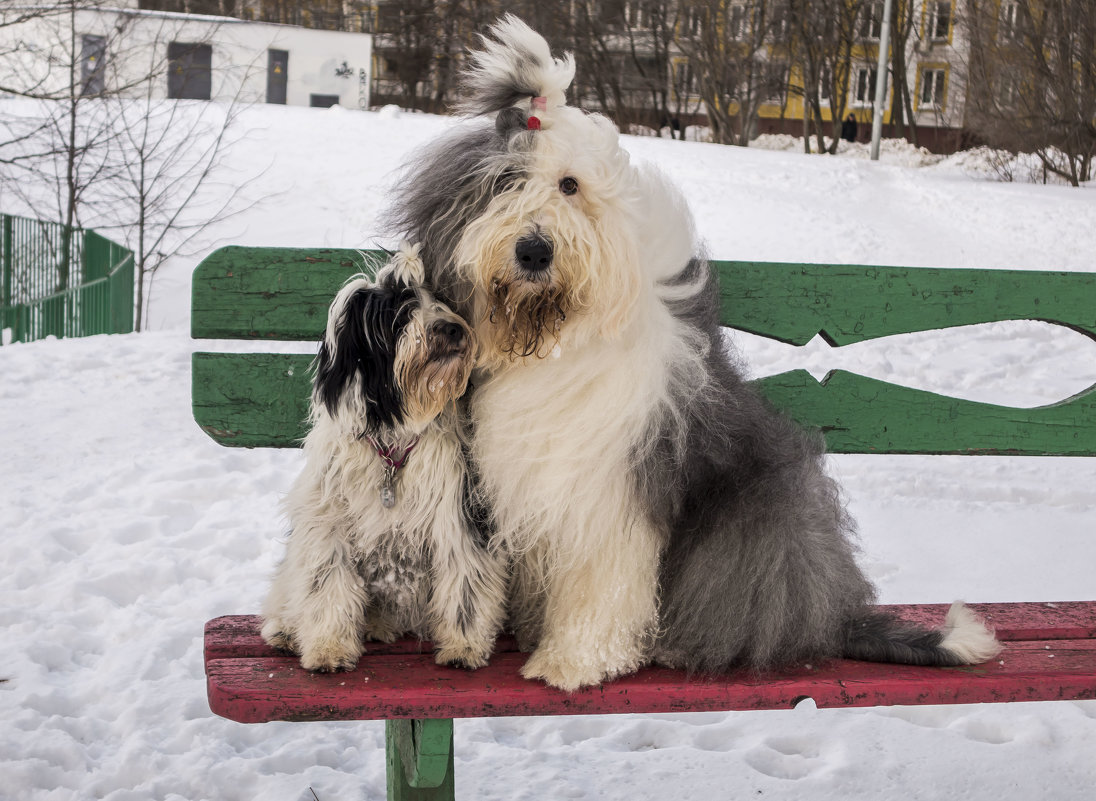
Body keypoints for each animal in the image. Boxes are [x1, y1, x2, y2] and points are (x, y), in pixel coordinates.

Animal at [260, 247, 508, 674]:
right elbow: (327, 586)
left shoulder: (457, 517)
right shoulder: (328, 526)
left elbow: (464, 584)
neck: (393, 442)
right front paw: (328, 648)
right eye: (397, 311)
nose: (451, 329)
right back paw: (287, 631)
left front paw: (463, 646)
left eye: (439, 300)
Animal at [383, 20, 1003, 696]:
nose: (534, 250)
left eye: (569, 185)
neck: (557, 340)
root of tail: (833, 613)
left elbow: (598, 580)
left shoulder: (608, 491)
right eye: (503, 183)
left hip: (751, 529)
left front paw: (571, 662)